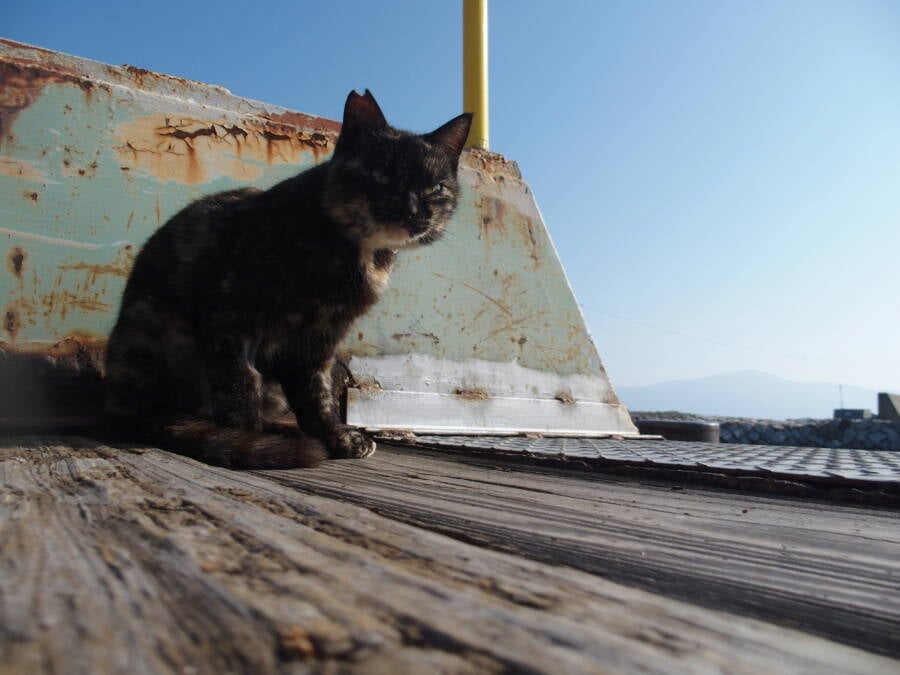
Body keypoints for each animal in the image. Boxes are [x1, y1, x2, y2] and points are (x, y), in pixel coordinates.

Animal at [100, 90, 472, 470]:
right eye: (381, 174)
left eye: (435, 188)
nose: (411, 211)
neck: (357, 253)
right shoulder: (230, 317)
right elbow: (240, 383)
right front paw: (247, 442)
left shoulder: (321, 339)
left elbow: (316, 394)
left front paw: (337, 438)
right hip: (157, 320)